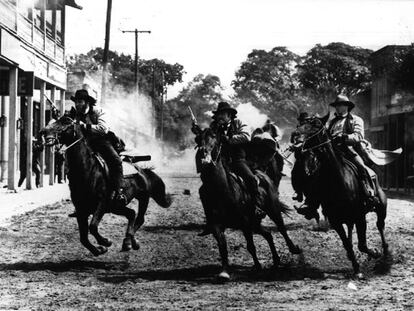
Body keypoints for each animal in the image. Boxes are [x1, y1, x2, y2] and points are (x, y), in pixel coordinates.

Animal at [42, 116, 171, 258]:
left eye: (66, 122)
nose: (44, 132)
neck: (88, 171)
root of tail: (142, 171)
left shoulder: (102, 204)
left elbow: (93, 227)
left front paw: (106, 242)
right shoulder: (81, 210)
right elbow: (83, 238)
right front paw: (99, 249)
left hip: (143, 198)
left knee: (140, 218)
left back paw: (130, 241)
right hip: (116, 207)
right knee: (131, 214)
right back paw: (129, 241)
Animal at [196, 129, 300, 282]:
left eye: (214, 137)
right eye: (198, 138)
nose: (203, 152)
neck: (222, 190)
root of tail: (261, 174)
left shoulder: (245, 223)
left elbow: (250, 246)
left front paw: (257, 266)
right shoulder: (216, 225)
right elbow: (222, 246)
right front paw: (224, 272)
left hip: (272, 210)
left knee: (281, 228)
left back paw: (293, 249)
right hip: (255, 222)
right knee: (268, 234)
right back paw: (276, 260)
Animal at [294, 116, 388, 278]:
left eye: (315, 125)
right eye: (301, 123)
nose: (295, 136)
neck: (338, 179)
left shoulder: (359, 217)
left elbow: (362, 245)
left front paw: (375, 253)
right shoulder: (335, 220)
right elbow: (347, 243)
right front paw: (356, 267)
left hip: (381, 207)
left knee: (380, 225)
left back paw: (385, 251)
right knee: (351, 233)